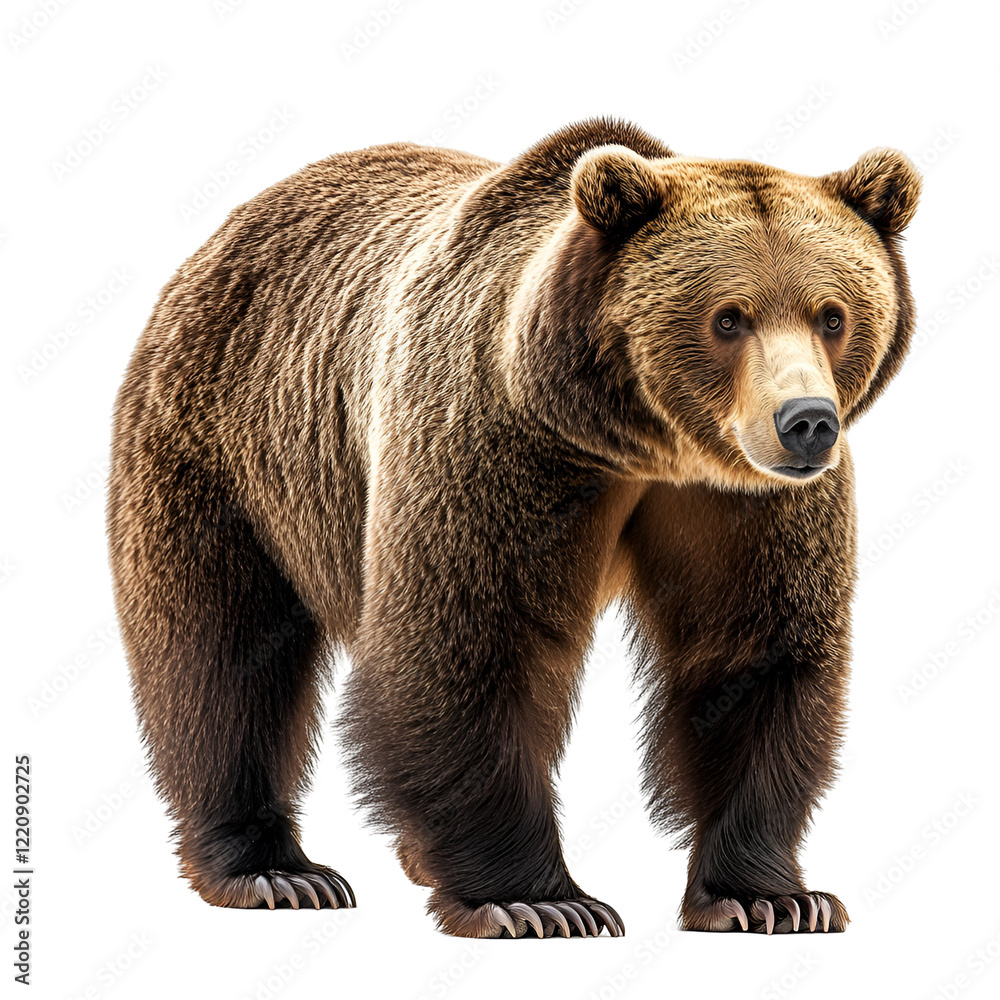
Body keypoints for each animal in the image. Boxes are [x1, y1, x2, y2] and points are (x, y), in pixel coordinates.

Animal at [107, 117, 920, 938]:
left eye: (832, 315)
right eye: (729, 316)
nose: (806, 422)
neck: (636, 440)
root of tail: (228, 230)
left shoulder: (741, 502)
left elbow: (752, 652)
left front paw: (770, 896)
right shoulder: (496, 442)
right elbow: (468, 643)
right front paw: (537, 899)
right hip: (227, 449)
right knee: (220, 653)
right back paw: (275, 871)